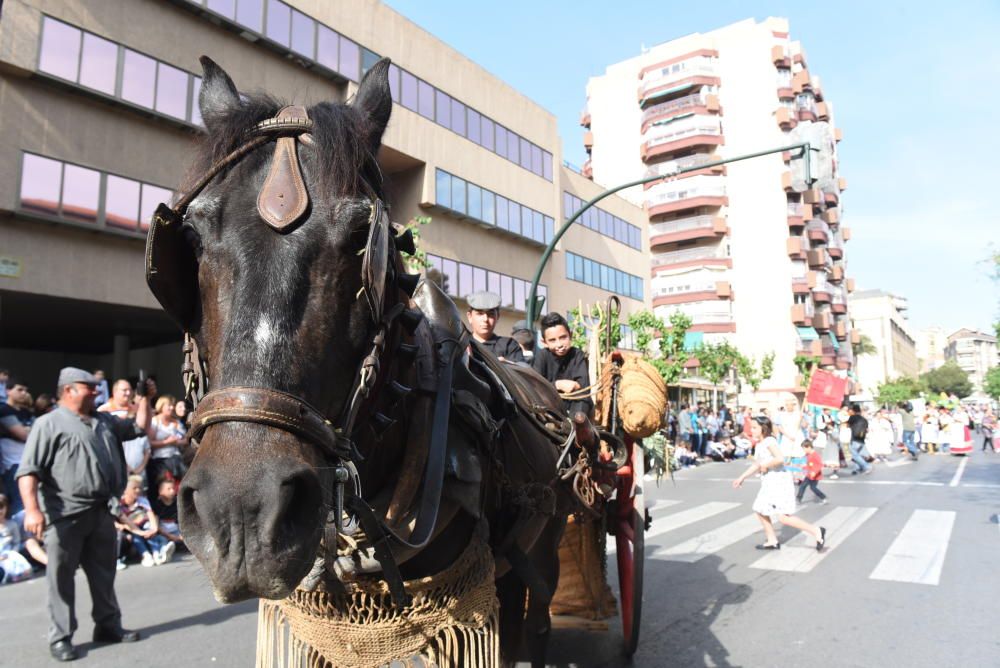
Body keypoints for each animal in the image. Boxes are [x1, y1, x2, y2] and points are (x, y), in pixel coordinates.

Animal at [155, 58, 576, 668]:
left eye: (363, 238)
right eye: (190, 237)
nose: (242, 516)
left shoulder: (456, 609)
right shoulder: (320, 622)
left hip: (544, 542)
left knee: (537, 614)